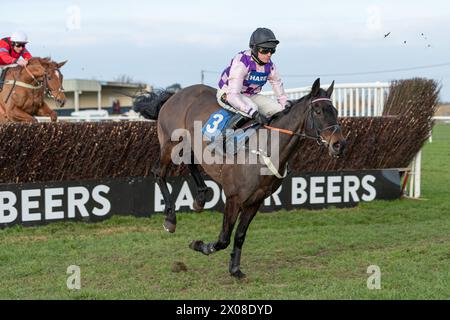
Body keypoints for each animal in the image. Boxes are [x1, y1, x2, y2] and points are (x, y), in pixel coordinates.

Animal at [150, 77, 344, 278]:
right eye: (318, 111)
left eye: (336, 111)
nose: (339, 144)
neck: (265, 149)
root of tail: (173, 96)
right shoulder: (234, 198)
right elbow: (224, 238)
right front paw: (200, 245)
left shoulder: (255, 201)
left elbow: (240, 236)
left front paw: (235, 268)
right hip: (171, 143)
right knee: (159, 172)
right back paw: (170, 219)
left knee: (190, 162)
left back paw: (200, 199)